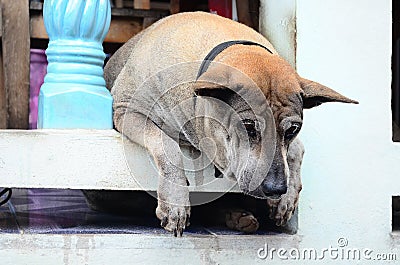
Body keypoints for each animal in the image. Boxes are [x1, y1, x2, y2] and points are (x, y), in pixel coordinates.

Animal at [102, 12, 356, 235]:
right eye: (249, 126)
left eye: (293, 129)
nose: (276, 189)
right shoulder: (127, 109)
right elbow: (166, 144)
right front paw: (175, 205)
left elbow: (297, 150)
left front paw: (286, 199)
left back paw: (239, 218)